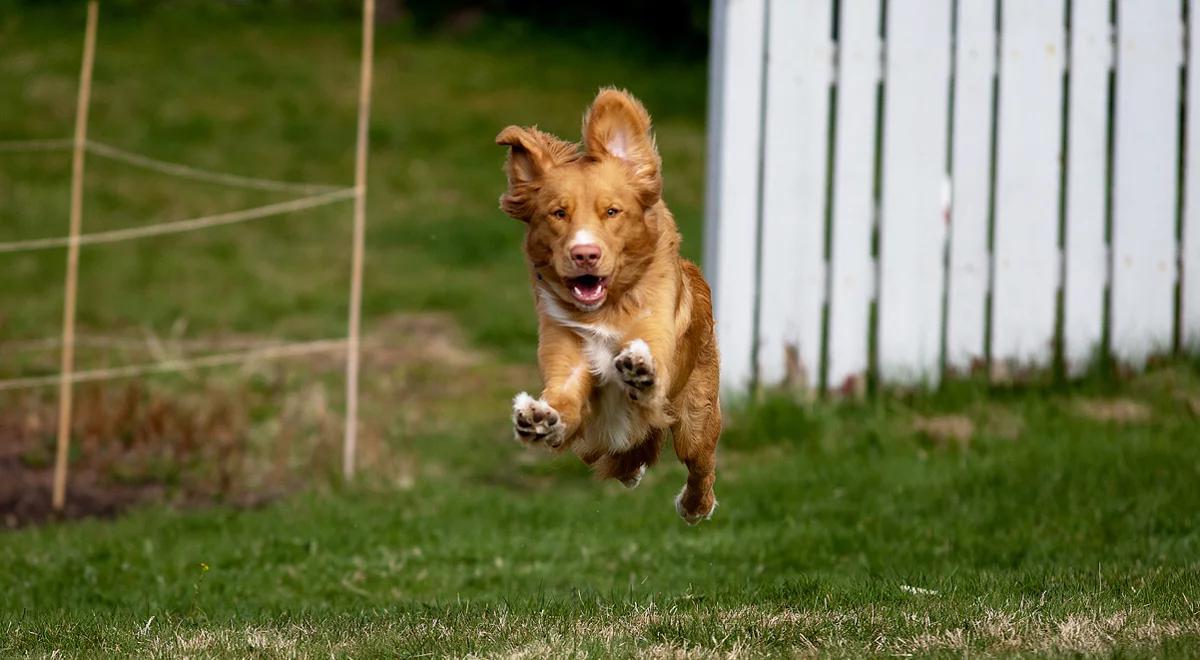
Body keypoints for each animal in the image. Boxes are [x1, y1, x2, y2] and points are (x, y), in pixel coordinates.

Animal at [496, 88, 720, 525]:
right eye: (558, 213)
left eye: (612, 212)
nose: (585, 254)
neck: (606, 308)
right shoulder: (566, 363)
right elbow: (563, 400)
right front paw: (537, 418)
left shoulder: (657, 336)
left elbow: (650, 367)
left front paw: (639, 368)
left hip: (696, 415)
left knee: (700, 462)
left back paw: (694, 505)